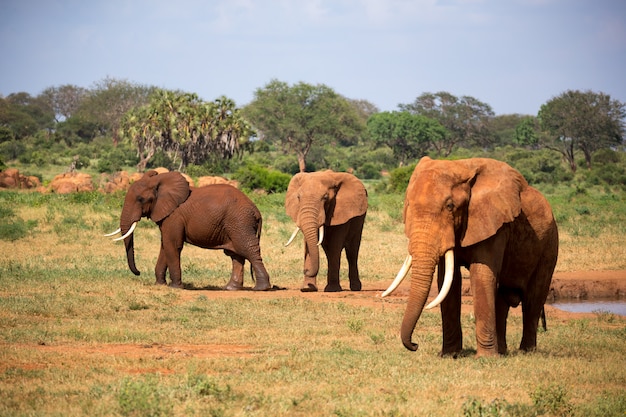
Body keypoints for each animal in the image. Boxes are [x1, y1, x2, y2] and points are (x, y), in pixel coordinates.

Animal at [105, 169, 270, 290]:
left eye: (140, 199)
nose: (138, 272)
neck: (160, 182)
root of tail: (257, 211)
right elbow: (165, 245)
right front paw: (160, 285)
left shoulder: (174, 216)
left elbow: (172, 245)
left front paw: (175, 287)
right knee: (236, 255)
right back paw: (230, 288)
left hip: (240, 222)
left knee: (248, 249)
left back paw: (261, 288)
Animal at [380, 158, 556, 356]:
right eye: (408, 205)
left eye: (450, 207)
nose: (415, 345)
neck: (462, 166)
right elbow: (448, 280)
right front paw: (449, 355)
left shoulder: (493, 224)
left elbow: (480, 275)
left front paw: (485, 358)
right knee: (503, 299)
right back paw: (502, 352)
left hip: (549, 243)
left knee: (534, 299)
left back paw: (526, 352)